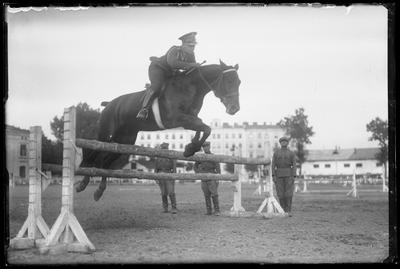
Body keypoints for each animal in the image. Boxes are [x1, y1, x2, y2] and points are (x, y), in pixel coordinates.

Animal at [77, 60, 242, 199]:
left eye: (239, 82)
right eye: (229, 81)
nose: (234, 109)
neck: (191, 87)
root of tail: (109, 104)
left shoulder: (188, 119)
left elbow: (203, 128)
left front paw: (190, 148)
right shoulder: (176, 119)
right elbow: (205, 127)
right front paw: (191, 148)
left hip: (125, 140)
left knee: (106, 161)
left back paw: (99, 190)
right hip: (105, 134)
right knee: (93, 153)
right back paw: (82, 183)